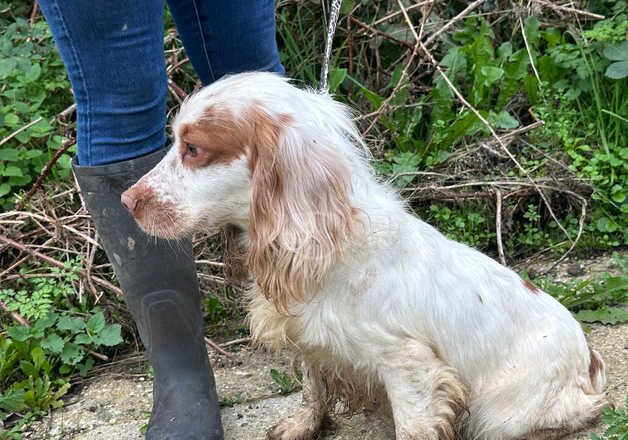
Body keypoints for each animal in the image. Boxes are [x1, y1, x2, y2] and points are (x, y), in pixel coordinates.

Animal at [120, 73, 604, 440]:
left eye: (194, 149)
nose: (127, 200)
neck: (327, 247)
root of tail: (590, 361)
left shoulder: (410, 368)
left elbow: (412, 427)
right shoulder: (310, 342)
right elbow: (312, 390)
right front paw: (301, 427)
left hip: (502, 414)